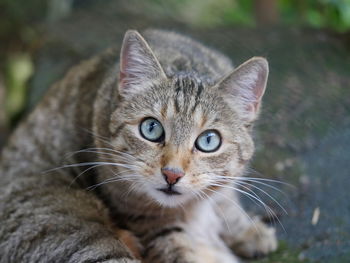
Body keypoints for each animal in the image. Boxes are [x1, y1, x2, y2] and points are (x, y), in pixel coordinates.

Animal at [0, 29, 278, 262]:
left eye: (208, 140)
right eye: (151, 128)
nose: (172, 174)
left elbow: (225, 197)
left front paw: (248, 229)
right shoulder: (152, 225)